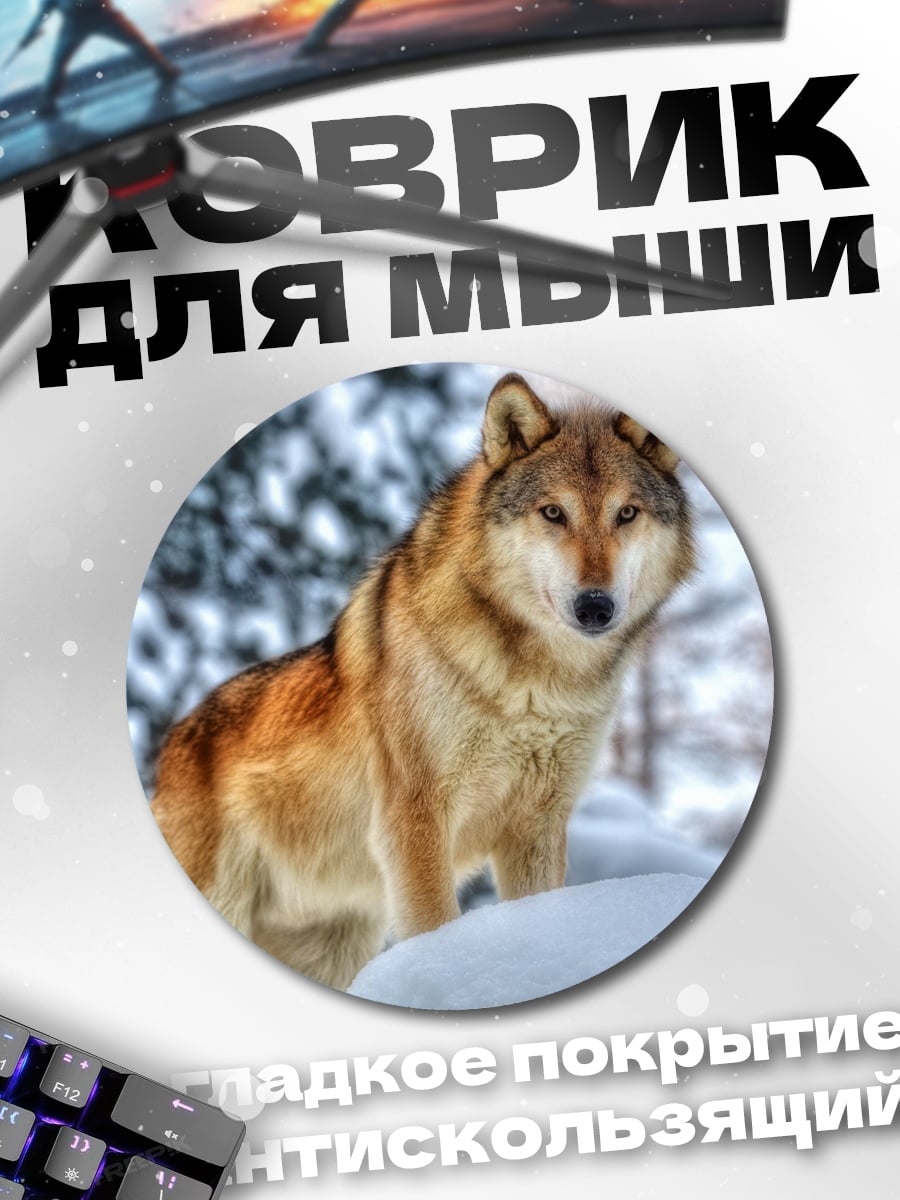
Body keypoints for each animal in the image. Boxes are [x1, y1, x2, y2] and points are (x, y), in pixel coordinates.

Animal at [152, 373, 696, 990]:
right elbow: (435, 924)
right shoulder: (415, 819)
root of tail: (171, 747)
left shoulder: (537, 825)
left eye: (627, 513)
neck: (536, 688)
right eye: (553, 512)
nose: (595, 607)